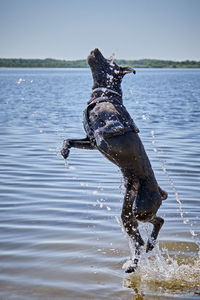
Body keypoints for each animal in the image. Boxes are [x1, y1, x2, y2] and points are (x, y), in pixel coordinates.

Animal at [61, 48, 167, 274]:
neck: (104, 95)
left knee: (157, 222)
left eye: (110, 62)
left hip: (141, 208)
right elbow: (71, 139)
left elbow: (101, 131)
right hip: (129, 210)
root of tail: (160, 192)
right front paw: (64, 150)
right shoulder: (88, 141)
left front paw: (105, 143)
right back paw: (135, 262)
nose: (95, 49)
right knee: (138, 240)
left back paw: (147, 247)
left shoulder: (115, 123)